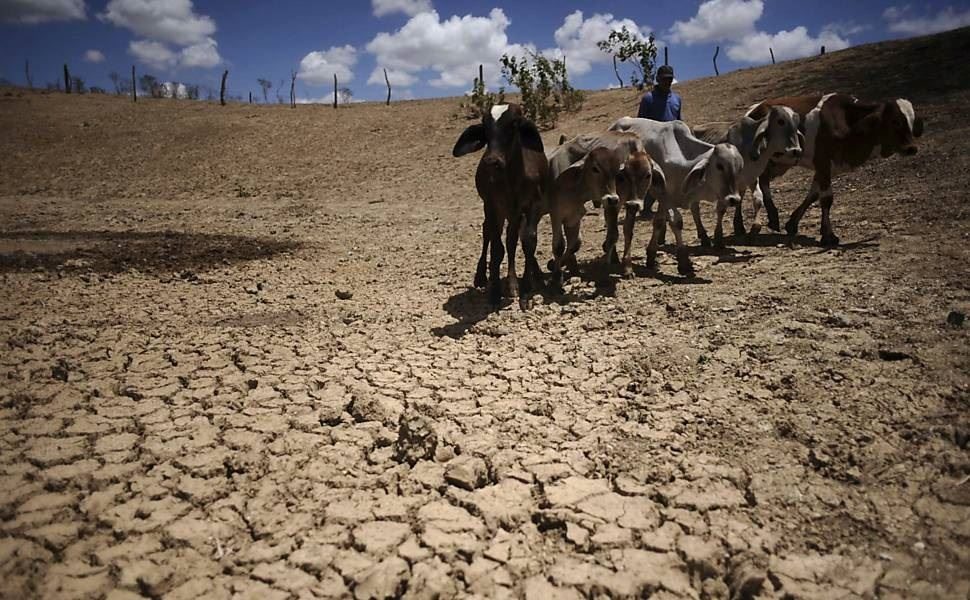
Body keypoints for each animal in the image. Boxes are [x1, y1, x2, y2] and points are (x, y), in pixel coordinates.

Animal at [452, 103, 548, 308]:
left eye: (514, 124)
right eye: (485, 128)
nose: (492, 161)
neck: (512, 178)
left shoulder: (532, 205)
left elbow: (528, 241)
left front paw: (525, 292)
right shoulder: (492, 205)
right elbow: (497, 249)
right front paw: (495, 293)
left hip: (514, 214)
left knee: (512, 240)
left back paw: (513, 284)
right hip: (499, 212)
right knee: (488, 232)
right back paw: (481, 276)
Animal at [748, 94, 924, 244]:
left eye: (912, 122)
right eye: (895, 121)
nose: (912, 148)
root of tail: (756, 108)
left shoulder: (826, 168)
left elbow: (813, 195)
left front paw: (793, 223)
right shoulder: (823, 162)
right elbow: (826, 199)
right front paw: (829, 236)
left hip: (780, 162)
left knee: (764, 180)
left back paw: (773, 217)